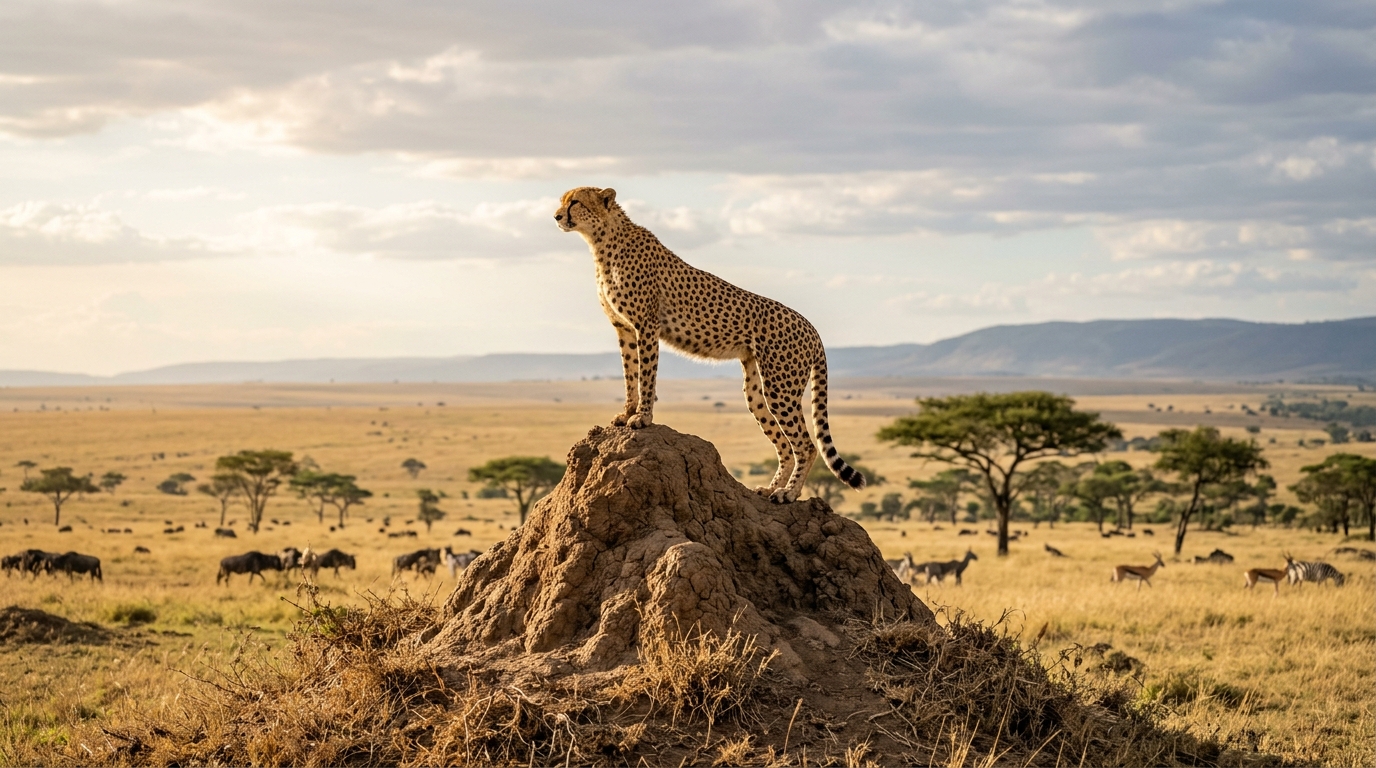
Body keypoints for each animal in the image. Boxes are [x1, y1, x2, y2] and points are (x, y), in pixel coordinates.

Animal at [554, 185, 866, 503]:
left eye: (574, 202)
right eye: (562, 200)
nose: (556, 216)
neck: (602, 242)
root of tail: (810, 327)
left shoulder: (647, 326)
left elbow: (645, 376)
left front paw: (642, 417)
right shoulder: (625, 329)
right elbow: (630, 374)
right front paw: (627, 413)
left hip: (781, 387)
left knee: (806, 444)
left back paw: (788, 493)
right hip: (757, 391)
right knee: (784, 444)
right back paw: (770, 488)